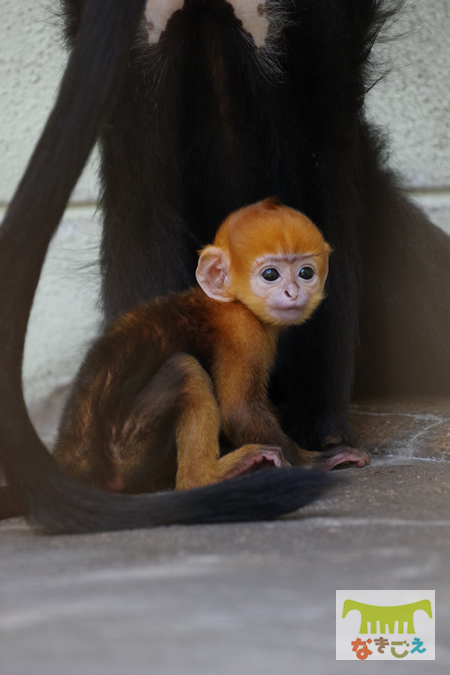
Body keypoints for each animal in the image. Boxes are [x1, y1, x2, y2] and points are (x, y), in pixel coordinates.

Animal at [51, 198, 370, 494]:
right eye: (270, 275)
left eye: (306, 273)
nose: (292, 292)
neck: (233, 301)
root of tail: (74, 458)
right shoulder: (243, 330)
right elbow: (238, 410)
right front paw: (314, 460)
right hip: (126, 450)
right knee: (186, 370)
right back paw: (209, 476)